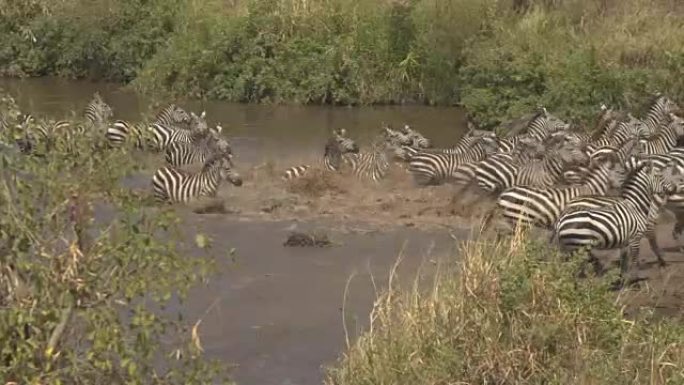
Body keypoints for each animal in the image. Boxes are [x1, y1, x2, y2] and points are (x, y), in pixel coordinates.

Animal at [552, 164, 680, 278]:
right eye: (660, 176)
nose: (675, 188)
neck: (635, 205)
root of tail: (560, 220)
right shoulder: (635, 238)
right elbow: (636, 260)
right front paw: (636, 280)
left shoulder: (624, 243)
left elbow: (624, 263)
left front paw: (623, 280)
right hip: (577, 246)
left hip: (569, 247)